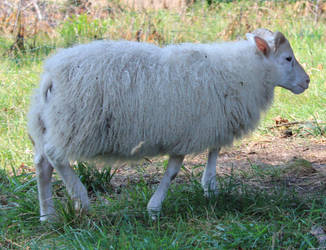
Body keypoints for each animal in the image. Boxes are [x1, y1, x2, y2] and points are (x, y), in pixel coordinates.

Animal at [27, 28, 308, 222]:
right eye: (288, 58)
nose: (307, 82)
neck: (243, 73)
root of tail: (50, 74)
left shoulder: (207, 123)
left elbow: (213, 150)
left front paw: (210, 186)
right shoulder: (190, 130)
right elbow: (173, 171)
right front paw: (155, 208)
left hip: (47, 123)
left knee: (42, 165)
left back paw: (47, 215)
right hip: (74, 124)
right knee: (55, 156)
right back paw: (81, 199)